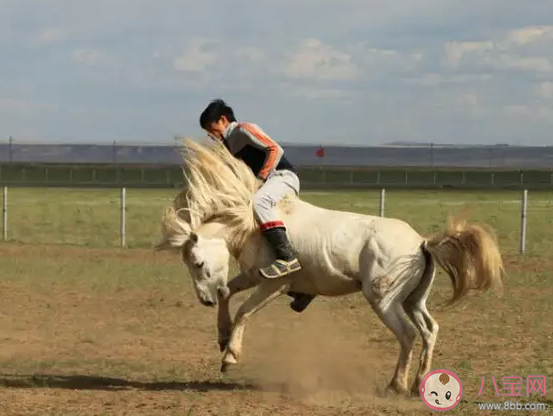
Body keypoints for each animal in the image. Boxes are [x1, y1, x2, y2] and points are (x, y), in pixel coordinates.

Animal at [155, 140, 504, 396]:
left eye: (198, 263)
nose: (204, 300)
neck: (252, 224)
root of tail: (421, 242)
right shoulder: (253, 276)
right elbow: (228, 293)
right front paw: (222, 337)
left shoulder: (273, 284)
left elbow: (244, 310)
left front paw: (230, 355)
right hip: (412, 300)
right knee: (429, 330)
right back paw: (421, 384)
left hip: (384, 300)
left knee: (407, 335)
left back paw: (396, 385)